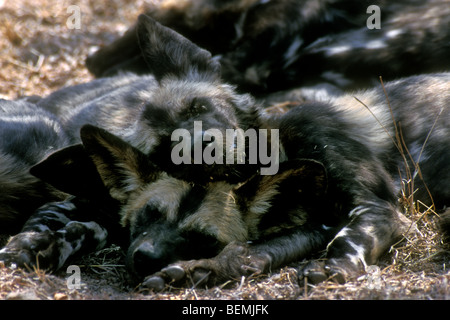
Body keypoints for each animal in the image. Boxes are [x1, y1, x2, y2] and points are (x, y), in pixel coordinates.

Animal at [0, 16, 448, 288]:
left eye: (198, 108)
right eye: (166, 149)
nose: (206, 146)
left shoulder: (373, 210)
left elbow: (347, 240)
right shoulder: (316, 226)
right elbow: (252, 252)